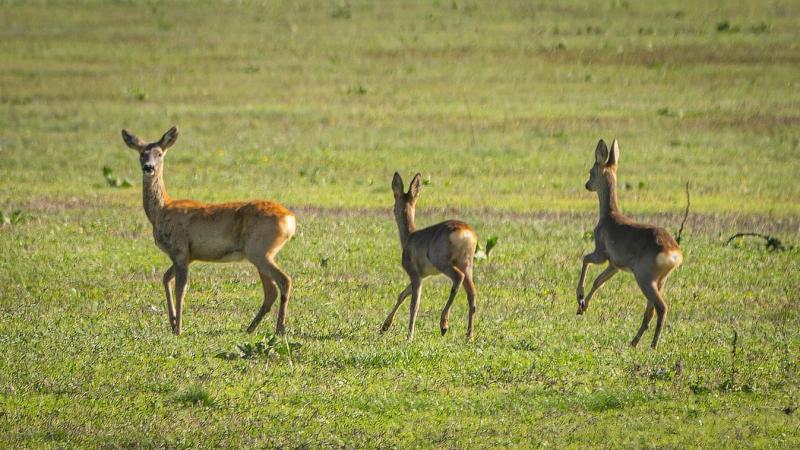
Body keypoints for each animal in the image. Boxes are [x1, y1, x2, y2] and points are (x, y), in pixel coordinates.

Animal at [123, 125, 298, 334]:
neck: (161, 210)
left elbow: (181, 289)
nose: (149, 167)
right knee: (271, 290)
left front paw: (179, 329)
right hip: (260, 254)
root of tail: (290, 218)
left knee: (284, 280)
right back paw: (250, 328)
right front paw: (173, 323)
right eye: (142, 153)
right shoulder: (187, 255)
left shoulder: (180, 250)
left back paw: (279, 329)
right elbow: (166, 278)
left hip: (259, 251)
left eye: (159, 153)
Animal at [380, 173, 478, 342]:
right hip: (467, 264)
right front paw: (384, 326)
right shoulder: (422, 276)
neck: (410, 237)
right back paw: (469, 336)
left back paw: (444, 325)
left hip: (443, 263)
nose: (392, 210)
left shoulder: (415, 275)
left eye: (394, 204)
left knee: (458, 278)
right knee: (471, 294)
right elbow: (402, 294)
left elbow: (414, 304)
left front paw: (409, 337)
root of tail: (466, 232)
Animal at [580, 139, 684, 350]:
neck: (609, 215)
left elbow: (584, 258)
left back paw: (653, 345)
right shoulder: (615, 265)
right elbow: (598, 281)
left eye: (591, 171)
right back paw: (635, 342)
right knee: (651, 311)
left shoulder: (601, 253)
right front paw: (583, 306)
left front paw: (580, 299)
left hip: (644, 277)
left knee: (661, 307)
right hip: (660, 279)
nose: (587, 185)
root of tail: (673, 252)